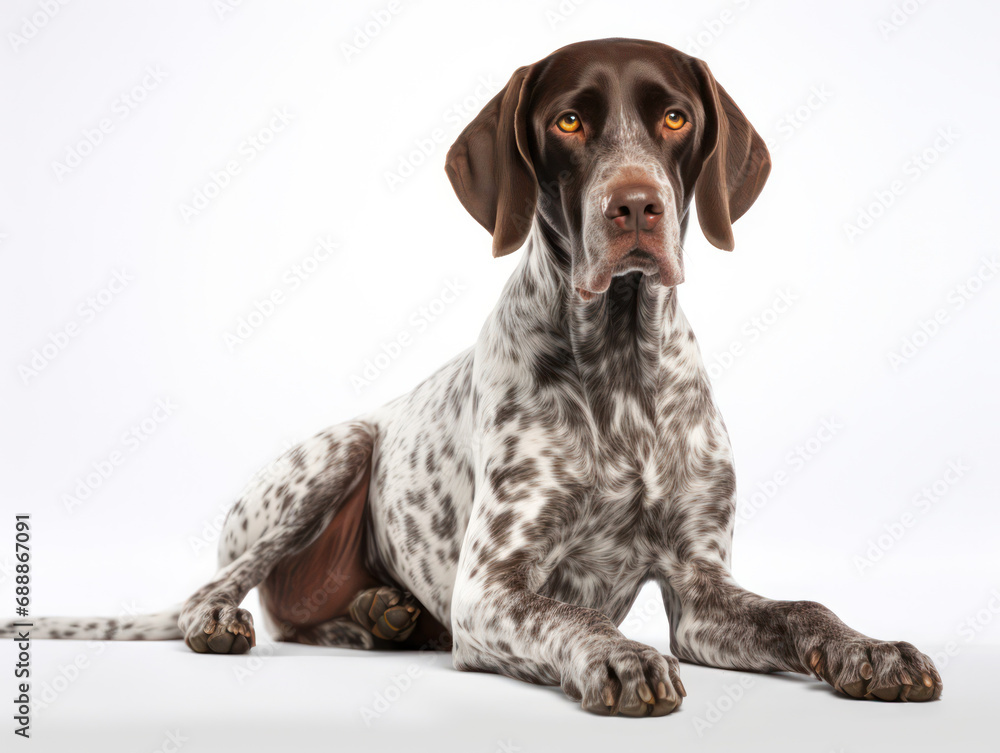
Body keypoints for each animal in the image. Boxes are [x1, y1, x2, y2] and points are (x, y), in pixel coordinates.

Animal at [11, 39, 940, 716]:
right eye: (569, 121)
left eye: (675, 116)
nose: (636, 206)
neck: (622, 364)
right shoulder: (491, 588)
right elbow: (565, 613)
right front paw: (618, 655)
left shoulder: (701, 593)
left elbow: (804, 610)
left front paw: (871, 648)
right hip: (338, 450)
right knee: (224, 593)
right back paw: (227, 618)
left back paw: (383, 615)